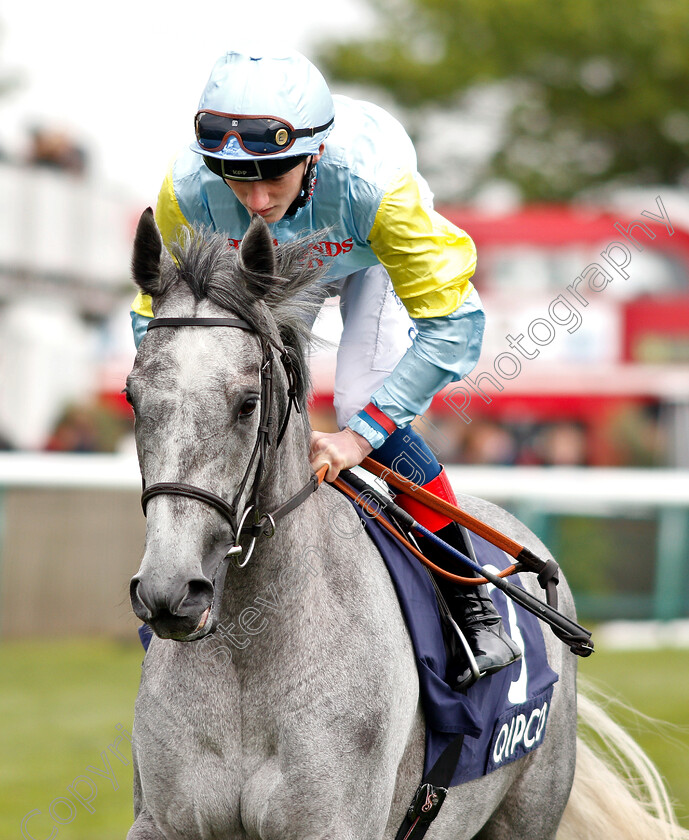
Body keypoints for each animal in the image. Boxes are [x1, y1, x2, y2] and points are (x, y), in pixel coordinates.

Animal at [125, 207, 688, 836]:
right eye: (132, 397)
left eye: (247, 403)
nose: (171, 589)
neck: (249, 658)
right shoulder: (162, 822)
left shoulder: (336, 823)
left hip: (530, 809)